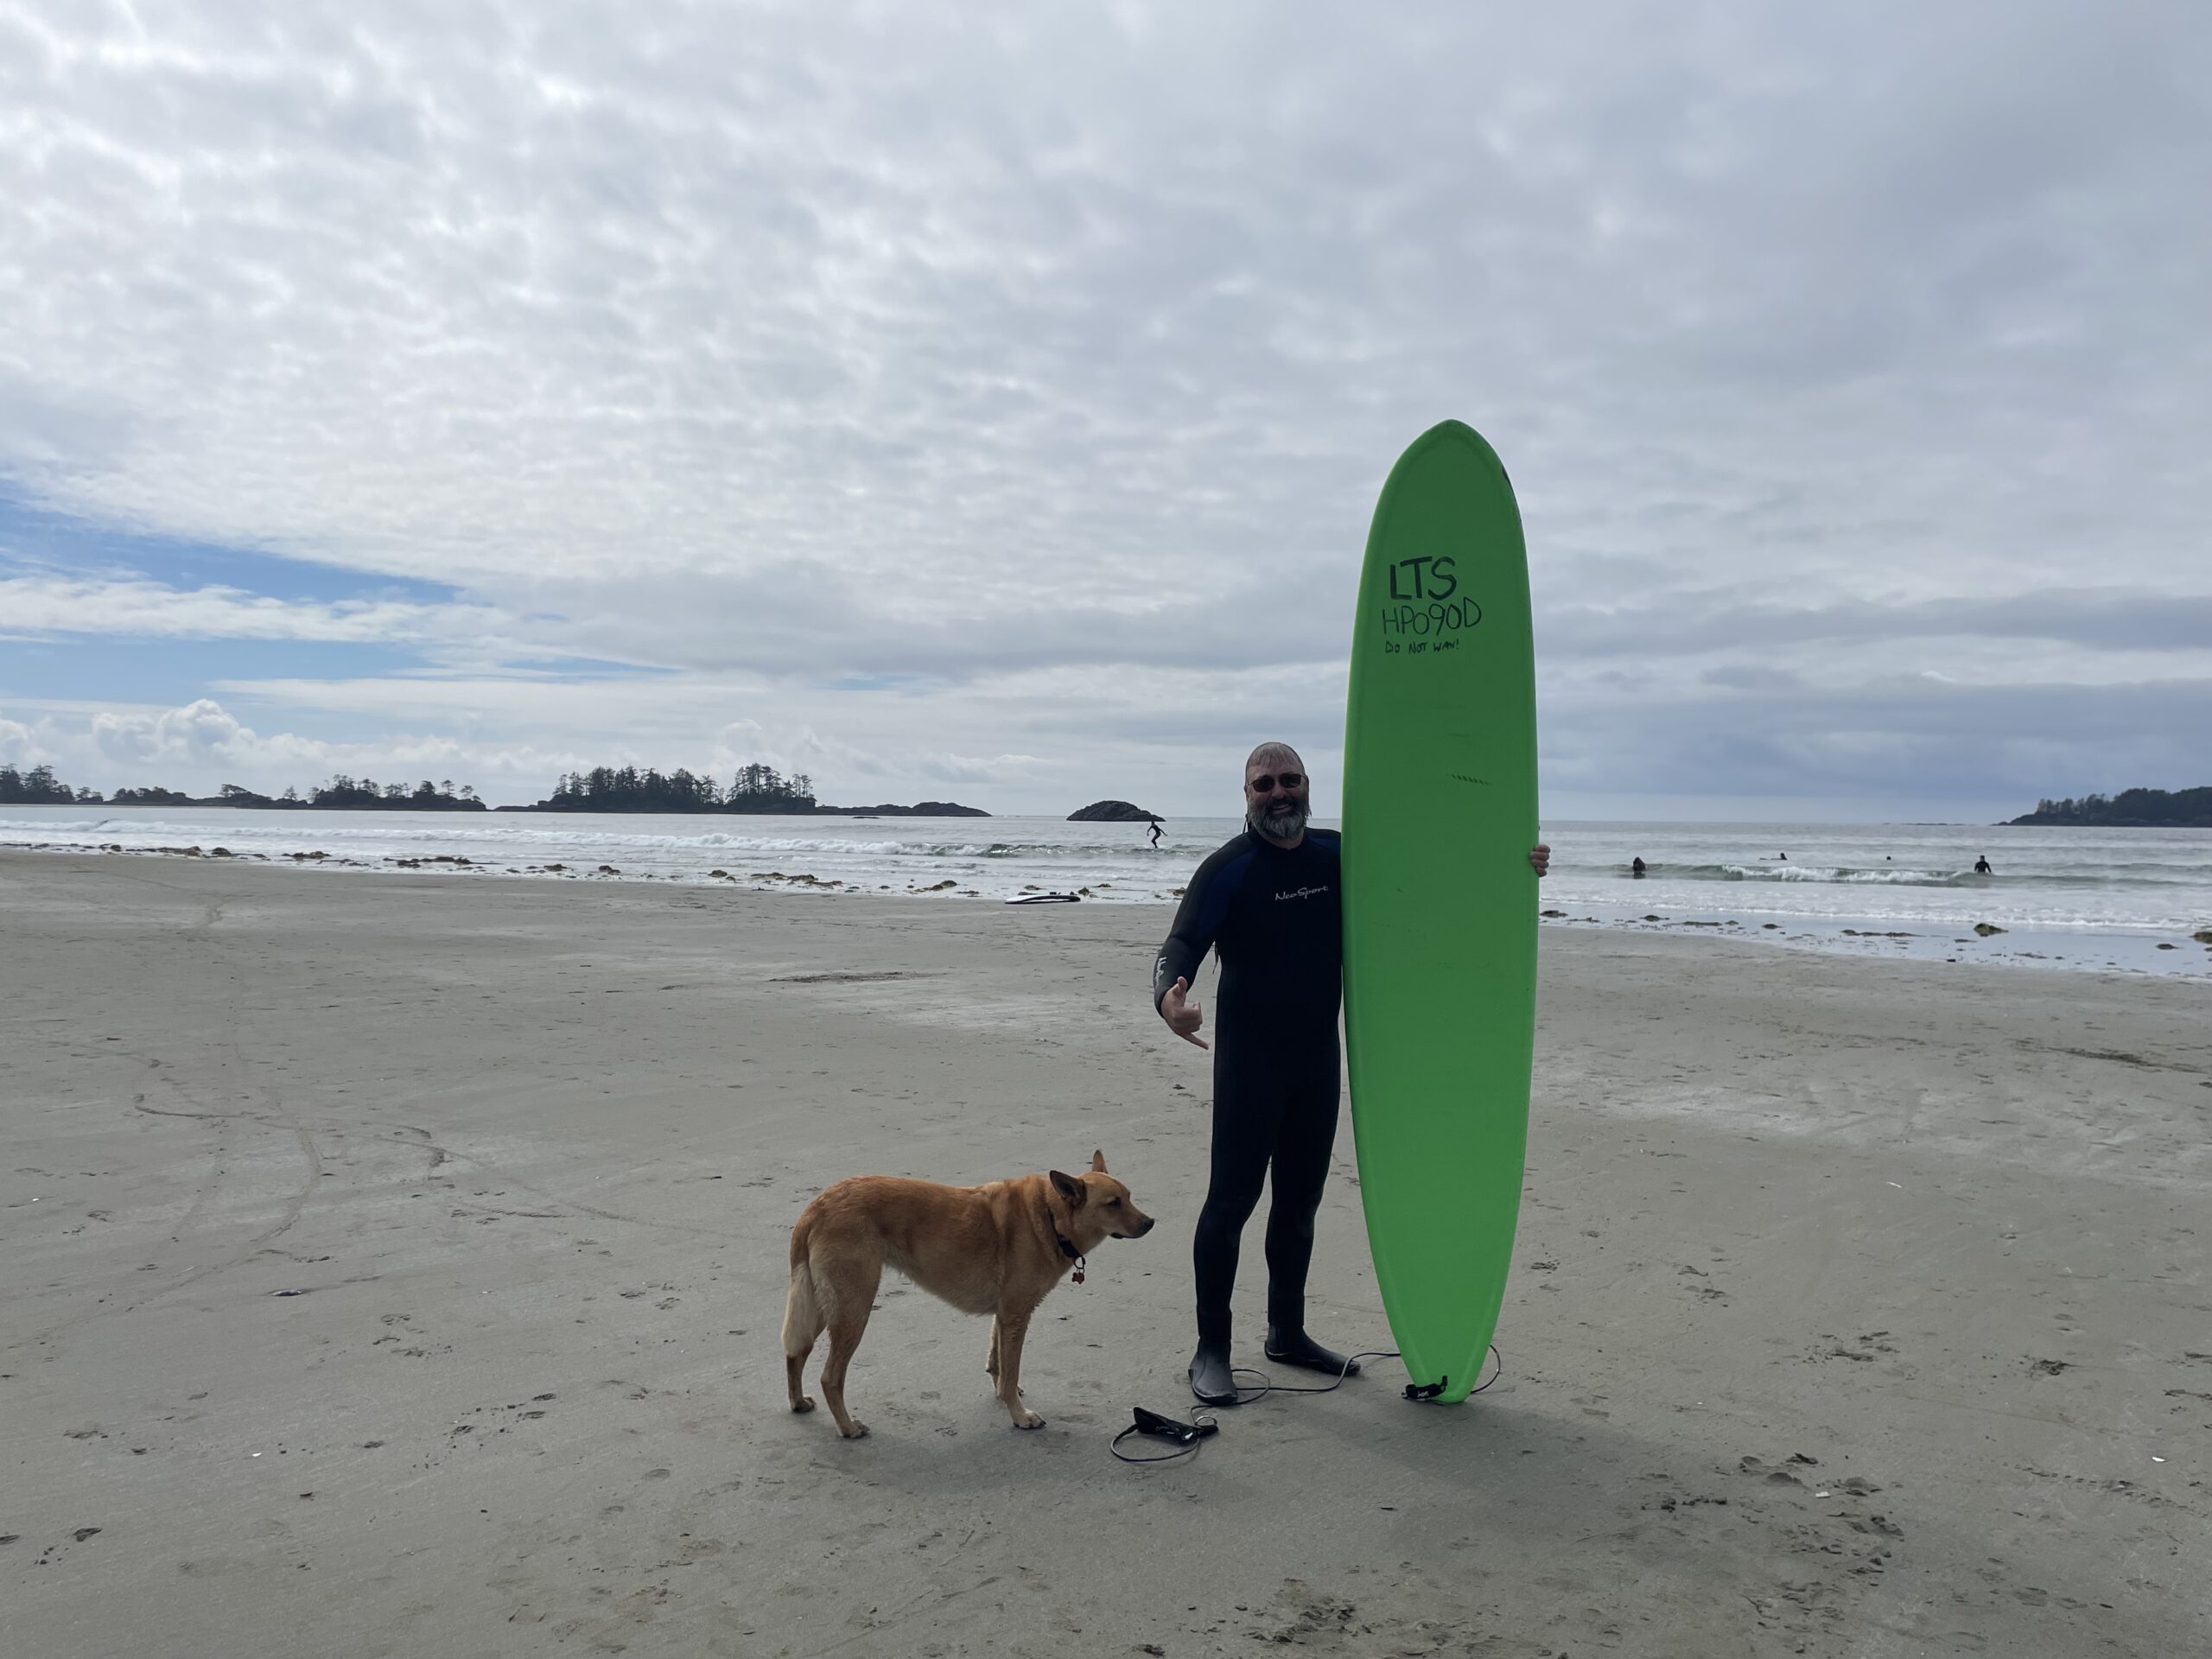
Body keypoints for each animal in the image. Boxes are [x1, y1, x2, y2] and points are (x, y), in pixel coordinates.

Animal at [779, 1150, 1159, 1433]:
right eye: (1113, 1203)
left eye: (1129, 1197)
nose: (1151, 1223)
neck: (1050, 1215)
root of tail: (818, 1206)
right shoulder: (1016, 1315)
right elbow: (1010, 1369)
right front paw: (1019, 1415)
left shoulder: (1005, 1316)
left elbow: (999, 1363)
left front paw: (1004, 1395)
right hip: (853, 1309)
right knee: (831, 1377)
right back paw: (847, 1427)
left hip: (821, 1305)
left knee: (796, 1353)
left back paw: (797, 1402)